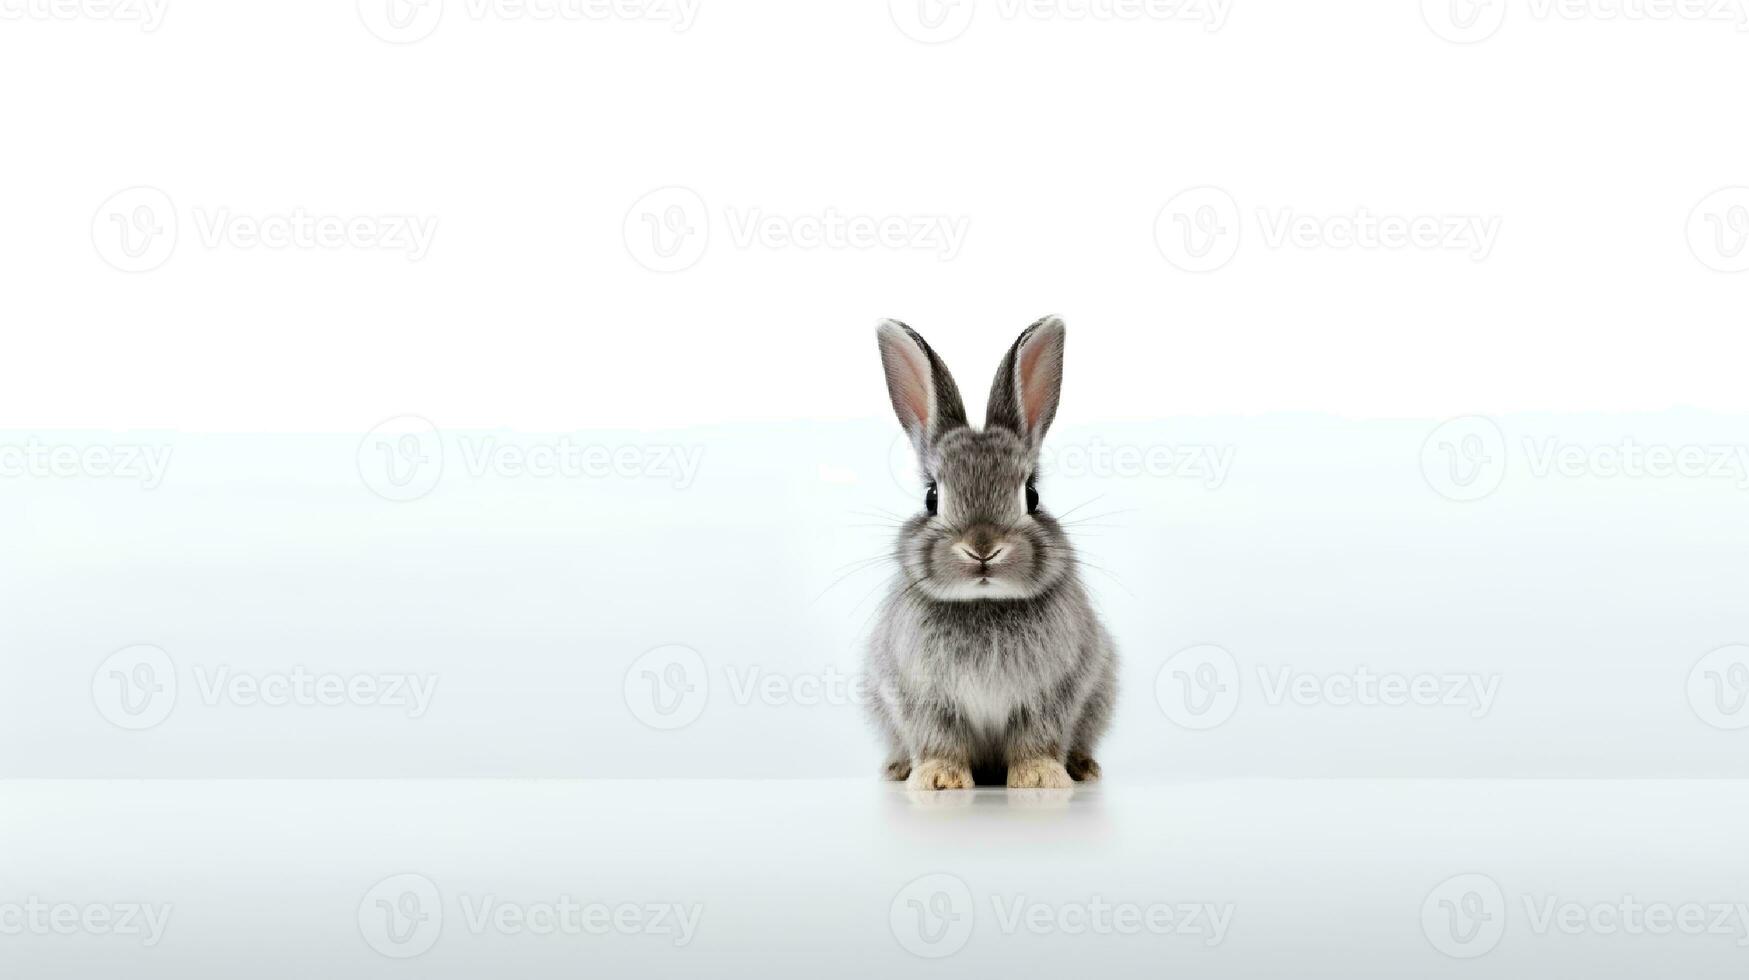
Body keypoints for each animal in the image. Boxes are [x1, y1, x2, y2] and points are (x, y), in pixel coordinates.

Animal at [864, 318, 1119, 791]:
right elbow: (939, 739)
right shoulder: (922, 698)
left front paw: (1039, 777)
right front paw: (939, 778)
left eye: (1031, 495)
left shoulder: (1051, 695)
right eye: (931, 497)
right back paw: (899, 768)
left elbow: (1036, 739)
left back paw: (1082, 767)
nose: (982, 549)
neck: (984, 602)